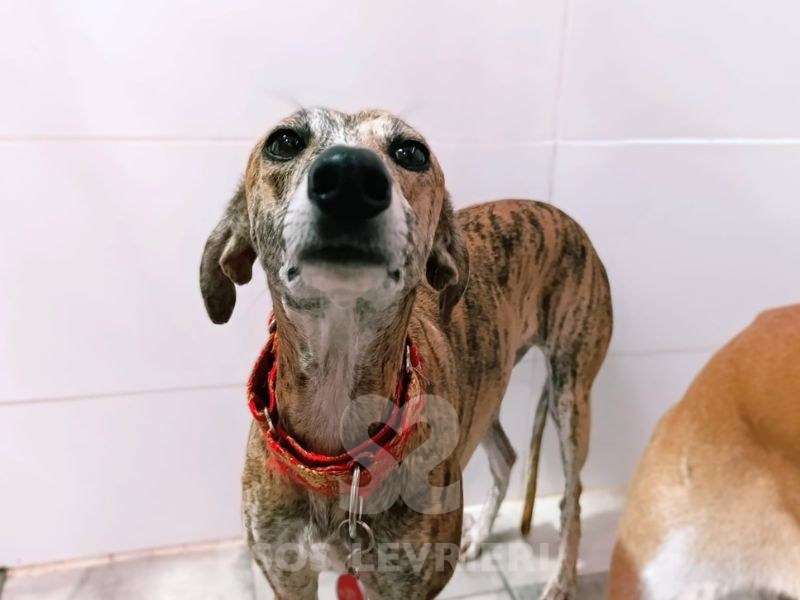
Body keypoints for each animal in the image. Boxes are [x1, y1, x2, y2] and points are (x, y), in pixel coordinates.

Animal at [199, 108, 612, 599]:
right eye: (283, 141)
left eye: (411, 152)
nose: (350, 178)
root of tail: (560, 214)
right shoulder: (288, 576)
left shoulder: (408, 583)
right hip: (485, 386)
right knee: (506, 456)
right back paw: (480, 534)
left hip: (571, 395)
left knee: (572, 496)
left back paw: (562, 578)